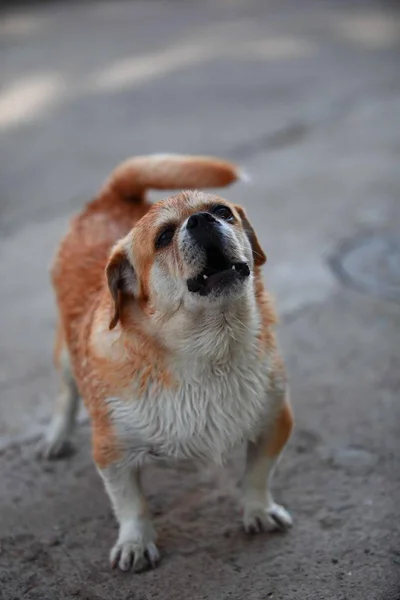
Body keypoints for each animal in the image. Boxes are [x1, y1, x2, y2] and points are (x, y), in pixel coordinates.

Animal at [44, 154, 294, 572]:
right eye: (162, 237)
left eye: (223, 212)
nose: (202, 220)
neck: (209, 351)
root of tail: (110, 198)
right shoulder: (112, 454)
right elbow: (131, 505)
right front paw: (135, 542)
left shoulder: (275, 421)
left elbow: (257, 475)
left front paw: (258, 510)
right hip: (65, 358)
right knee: (65, 393)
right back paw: (55, 437)